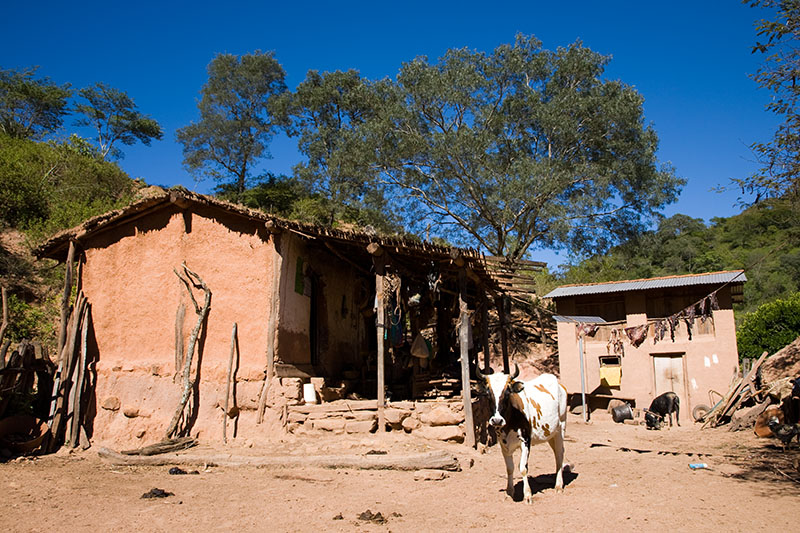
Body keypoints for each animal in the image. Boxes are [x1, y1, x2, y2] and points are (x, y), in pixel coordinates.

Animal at [476, 364, 568, 500]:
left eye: (507, 392)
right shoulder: (503, 444)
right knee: (557, 452)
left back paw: (558, 485)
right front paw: (510, 491)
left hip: (561, 428)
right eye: (488, 393)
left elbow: (523, 467)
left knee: (560, 454)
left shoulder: (525, 441)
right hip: (550, 434)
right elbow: (509, 468)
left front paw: (528, 495)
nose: (497, 420)